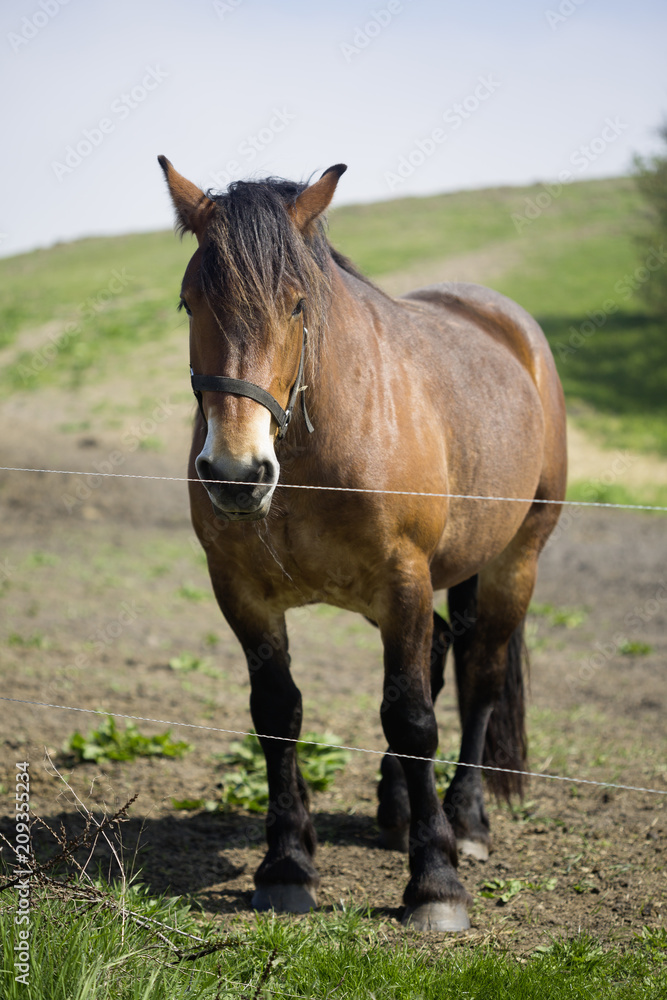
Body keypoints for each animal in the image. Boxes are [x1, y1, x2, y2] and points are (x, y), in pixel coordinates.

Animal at [158, 156, 567, 932]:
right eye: (189, 302)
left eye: (295, 305)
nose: (235, 472)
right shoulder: (243, 592)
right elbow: (278, 714)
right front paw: (287, 863)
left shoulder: (402, 578)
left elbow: (410, 718)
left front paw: (434, 882)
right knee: (438, 654)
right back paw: (399, 806)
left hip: (516, 561)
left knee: (478, 677)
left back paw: (466, 821)